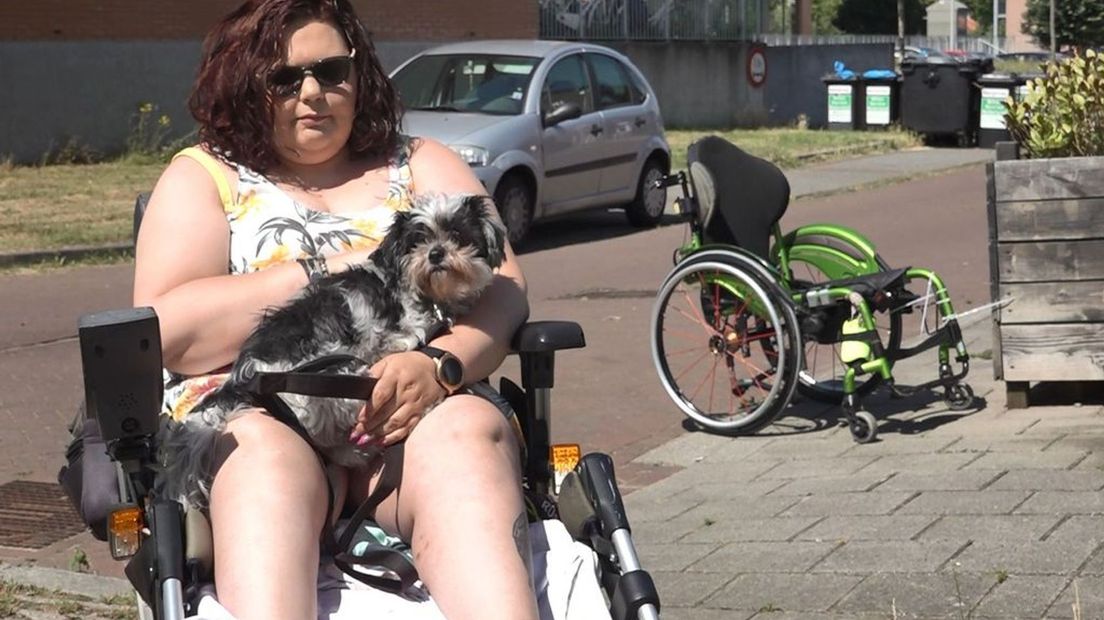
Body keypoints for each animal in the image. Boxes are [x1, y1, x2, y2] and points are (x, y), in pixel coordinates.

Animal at [160, 194, 507, 507]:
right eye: (416, 242)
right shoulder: (396, 341)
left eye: (458, 236)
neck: (424, 293)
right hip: (341, 375)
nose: (436, 253)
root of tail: (243, 380)